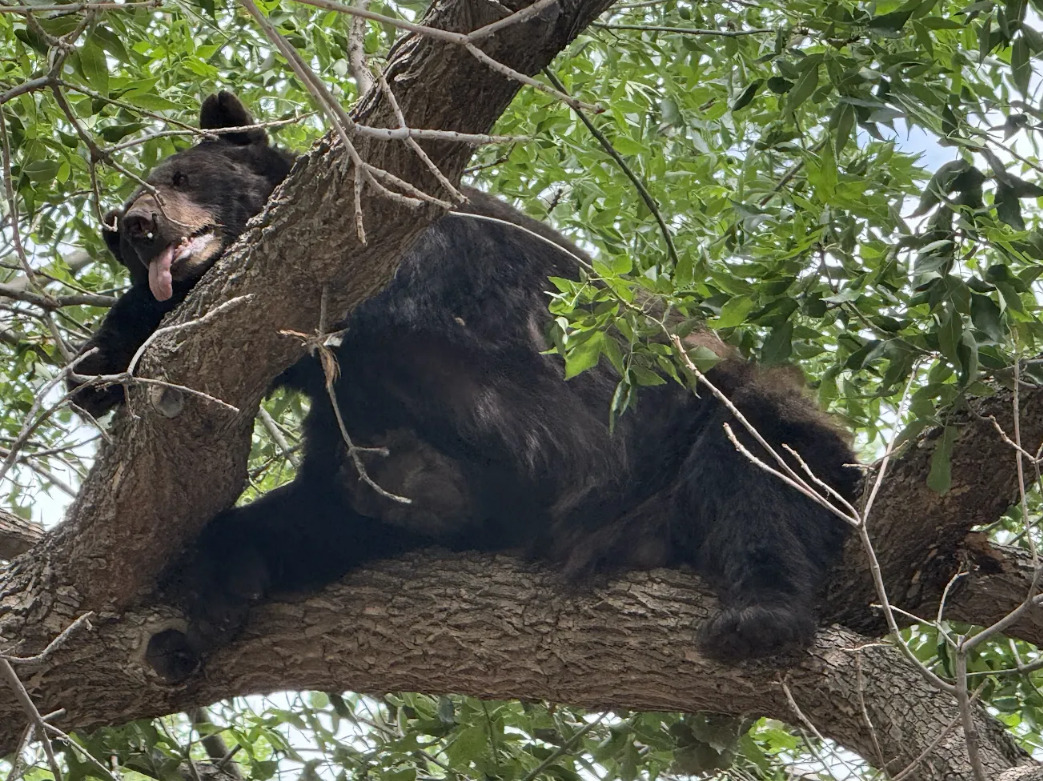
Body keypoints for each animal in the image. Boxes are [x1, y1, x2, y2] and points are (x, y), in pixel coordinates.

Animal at [69, 92, 858, 684]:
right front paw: (97, 368)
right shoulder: (359, 415)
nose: (137, 224)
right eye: (117, 227)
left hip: (702, 411)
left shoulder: (416, 252)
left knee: (762, 463)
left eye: (179, 175)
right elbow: (324, 498)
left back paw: (759, 614)